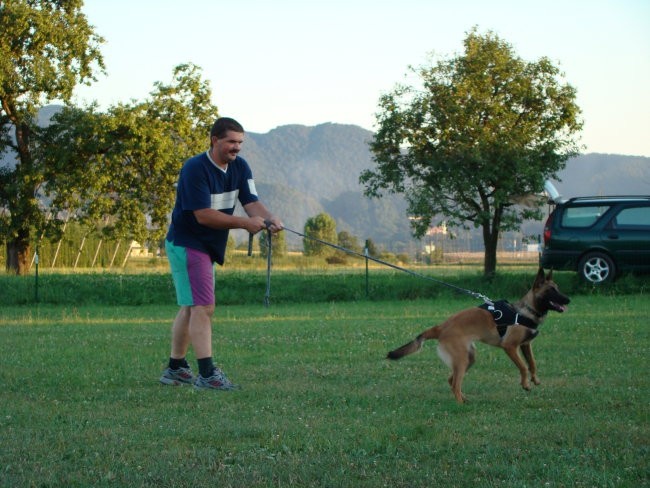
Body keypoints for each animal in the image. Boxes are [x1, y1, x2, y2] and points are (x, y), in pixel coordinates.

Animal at [384, 268, 568, 402]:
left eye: (558, 288)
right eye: (551, 290)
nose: (568, 300)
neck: (525, 311)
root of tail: (441, 327)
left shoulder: (525, 345)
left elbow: (532, 363)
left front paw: (535, 380)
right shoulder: (509, 347)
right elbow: (523, 366)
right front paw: (525, 384)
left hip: (469, 358)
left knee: (451, 380)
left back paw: (464, 399)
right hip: (462, 359)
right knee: (454, 384)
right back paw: (460, 404)